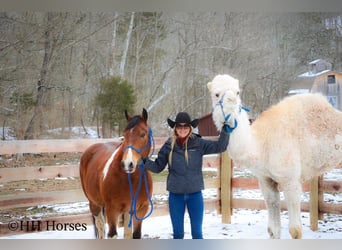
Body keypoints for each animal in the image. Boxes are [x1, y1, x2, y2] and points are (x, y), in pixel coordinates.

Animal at [79, 109, 153, 238]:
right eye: (125, 135)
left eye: (143, 134)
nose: (127, 164)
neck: (131, 179)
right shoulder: (112, 210)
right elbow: (112, 234)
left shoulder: (140, 209)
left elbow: (134, 234)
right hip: (94, 204)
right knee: (100, 227)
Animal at [207, 73, 342, 238]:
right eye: (216, 94)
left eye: (237, 92)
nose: (231, 102)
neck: (261, 144)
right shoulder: (265, 179)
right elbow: (273, 229)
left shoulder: (291, 180)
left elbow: (295, 230)